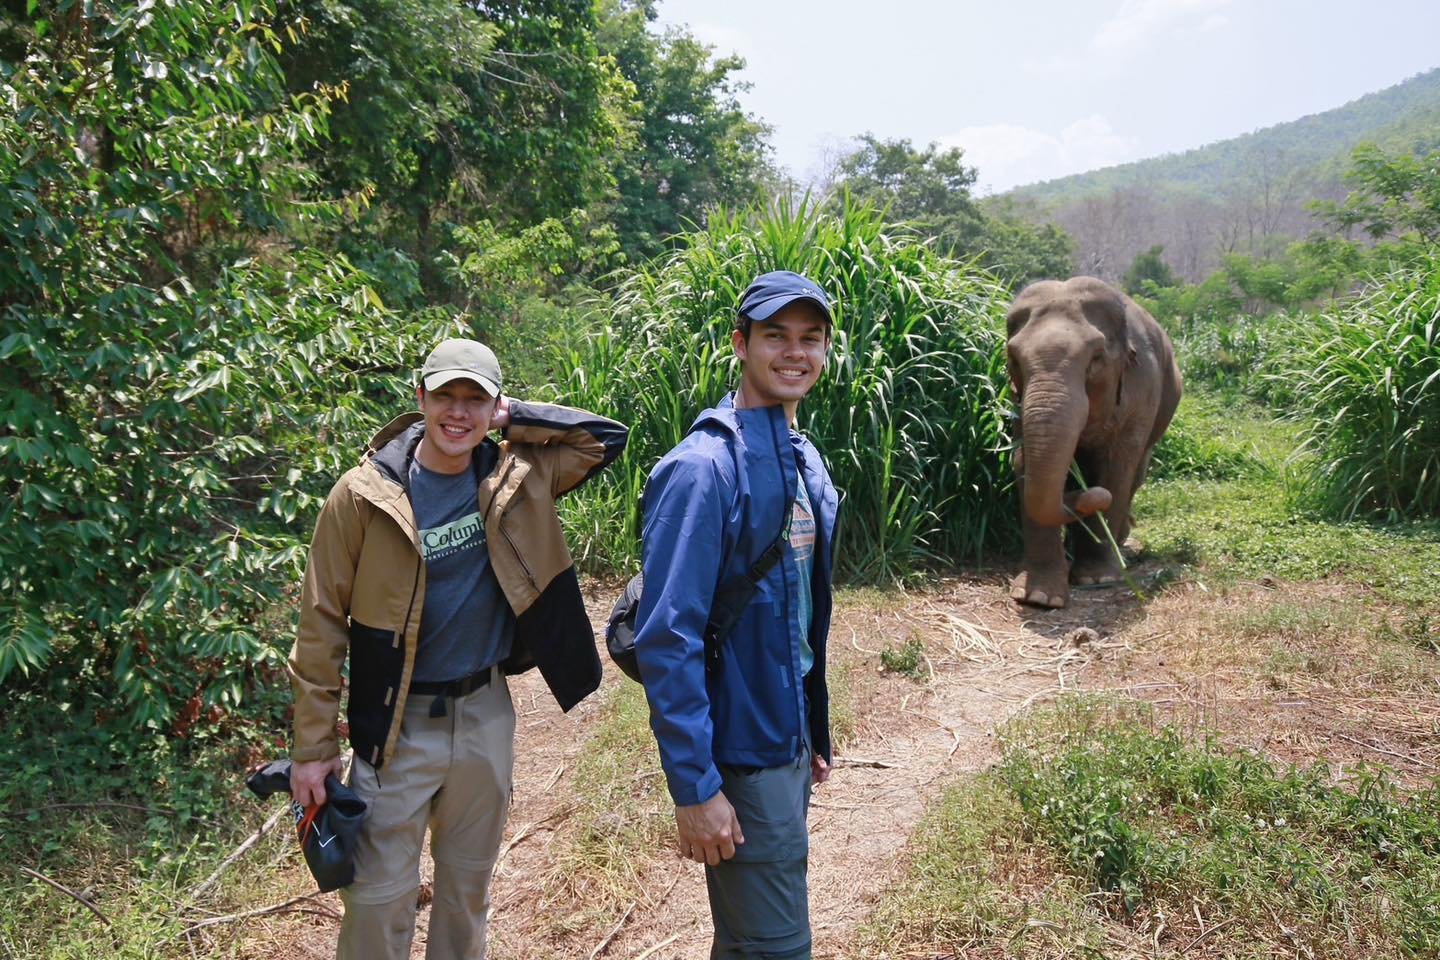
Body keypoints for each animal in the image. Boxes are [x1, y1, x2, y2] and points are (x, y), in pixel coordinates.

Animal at [1002, 276, 1180, 607]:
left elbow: (1115, 469)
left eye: (1096, 359)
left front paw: (1097, 580)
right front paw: (1039, 597)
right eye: (1013, 359)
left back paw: (1117, 542)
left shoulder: (1140, 393)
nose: (1093, 496)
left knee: (1136, 474)